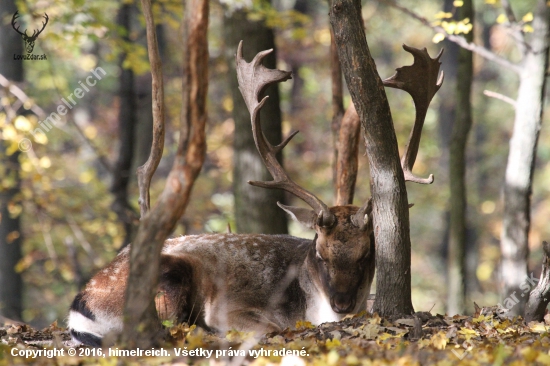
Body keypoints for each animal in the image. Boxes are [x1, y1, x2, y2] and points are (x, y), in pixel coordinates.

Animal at [68, 41, 444, 348]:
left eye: (366, 255)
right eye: (320, 254)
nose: (342, 304)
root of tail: (81, 303)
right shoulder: (230, 305)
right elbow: (269, 327)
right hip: (169, 276)